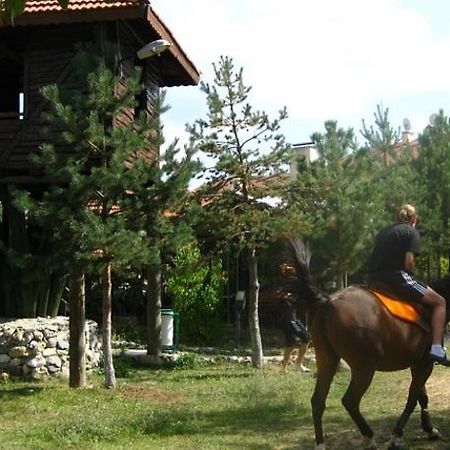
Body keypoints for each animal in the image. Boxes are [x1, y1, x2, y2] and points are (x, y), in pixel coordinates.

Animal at [288, 236, 450, 450]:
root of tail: (328, 302)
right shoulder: (425, 364)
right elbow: (413, 397)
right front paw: (396, 435)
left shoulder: (418, 363)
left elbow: (421, 396)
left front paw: (429, 429)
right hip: (364, 367)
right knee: (350, 401)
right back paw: (369, 437)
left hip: (327, 360)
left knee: (317, 401)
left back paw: (321, 443)